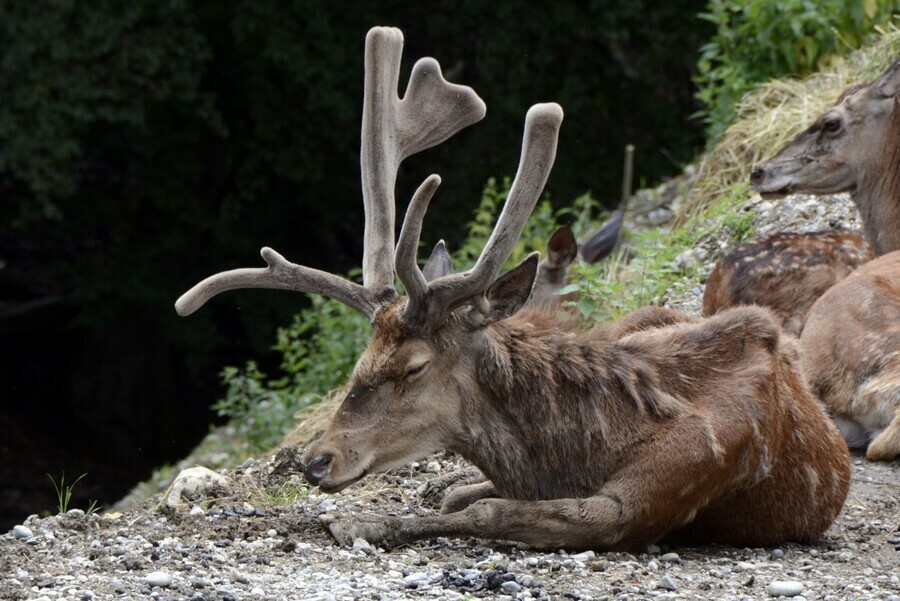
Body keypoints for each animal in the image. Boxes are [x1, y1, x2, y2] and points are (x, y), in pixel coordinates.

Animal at [176, 29, 852, 552]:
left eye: (413, 366)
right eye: (363, 360)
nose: (316, 460)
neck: (584, 445)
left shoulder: (654, 493)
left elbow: (486, 510)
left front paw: (367, 523)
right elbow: (461, 495)